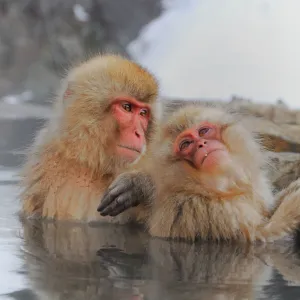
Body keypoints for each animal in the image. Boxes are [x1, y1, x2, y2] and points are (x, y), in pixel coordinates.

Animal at [19, 53, 161, 223]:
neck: (97, 167)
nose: (139, 133)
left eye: (143, 113)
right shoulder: (43, 167)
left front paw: (138, 185)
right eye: (127, 107)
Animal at [99, 104, 300, 243]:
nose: (202, 144)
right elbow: (257, 238)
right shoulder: (197, 209)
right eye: (186, 144)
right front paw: (294, 203)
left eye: (203, 131)